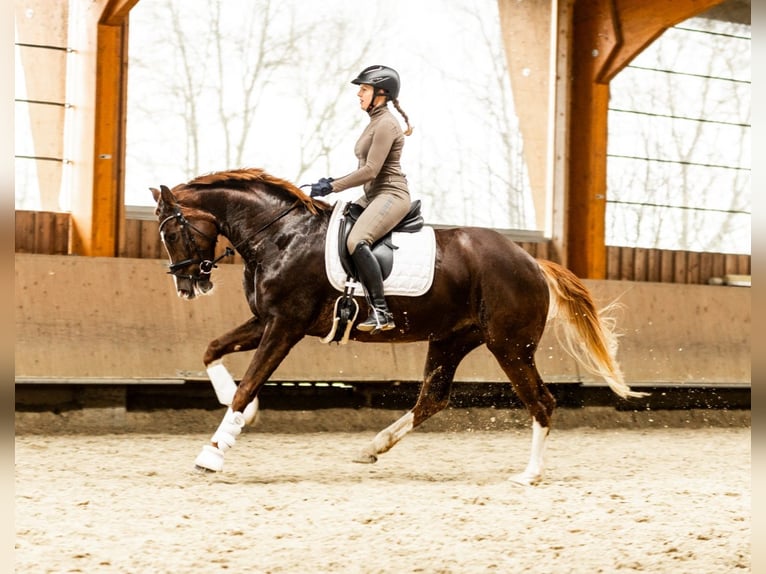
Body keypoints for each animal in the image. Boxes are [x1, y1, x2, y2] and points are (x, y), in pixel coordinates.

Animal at [150, 167, 646, 485]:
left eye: (172, 233)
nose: (187, 286)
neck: (281, 235)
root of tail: (532, 262)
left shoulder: (285, 326)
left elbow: (249, 382)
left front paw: (213, 452)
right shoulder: (265, 320)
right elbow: (212, 350)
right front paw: (238, 411)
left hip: (509, 345)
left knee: (540, 401)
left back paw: (529, 474)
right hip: (451, 340)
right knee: (432, 398)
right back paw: (373, 447)